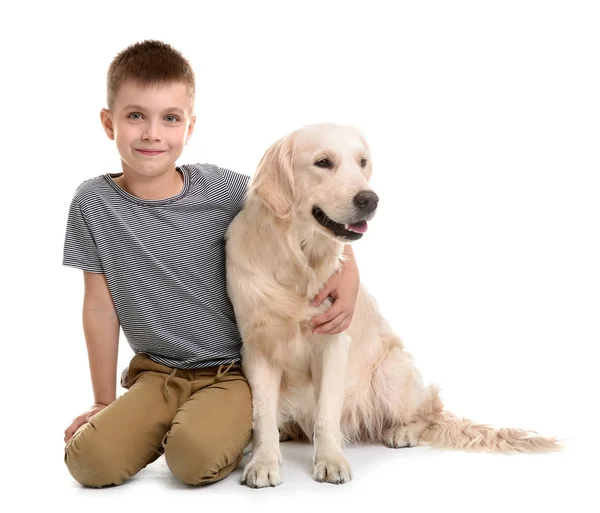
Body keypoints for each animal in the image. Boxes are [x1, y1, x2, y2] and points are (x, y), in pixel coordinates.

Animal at [224, 122, 556, 486]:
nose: (370, 199)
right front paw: (264, 462)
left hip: (391, 371)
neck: (298, 260)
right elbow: (262, 414)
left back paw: (402, 432)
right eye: (323, 162)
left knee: (430, 412)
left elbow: (327, 412)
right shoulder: (257, 345)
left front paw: (330, 461)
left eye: (362, 162)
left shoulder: (333, 341)